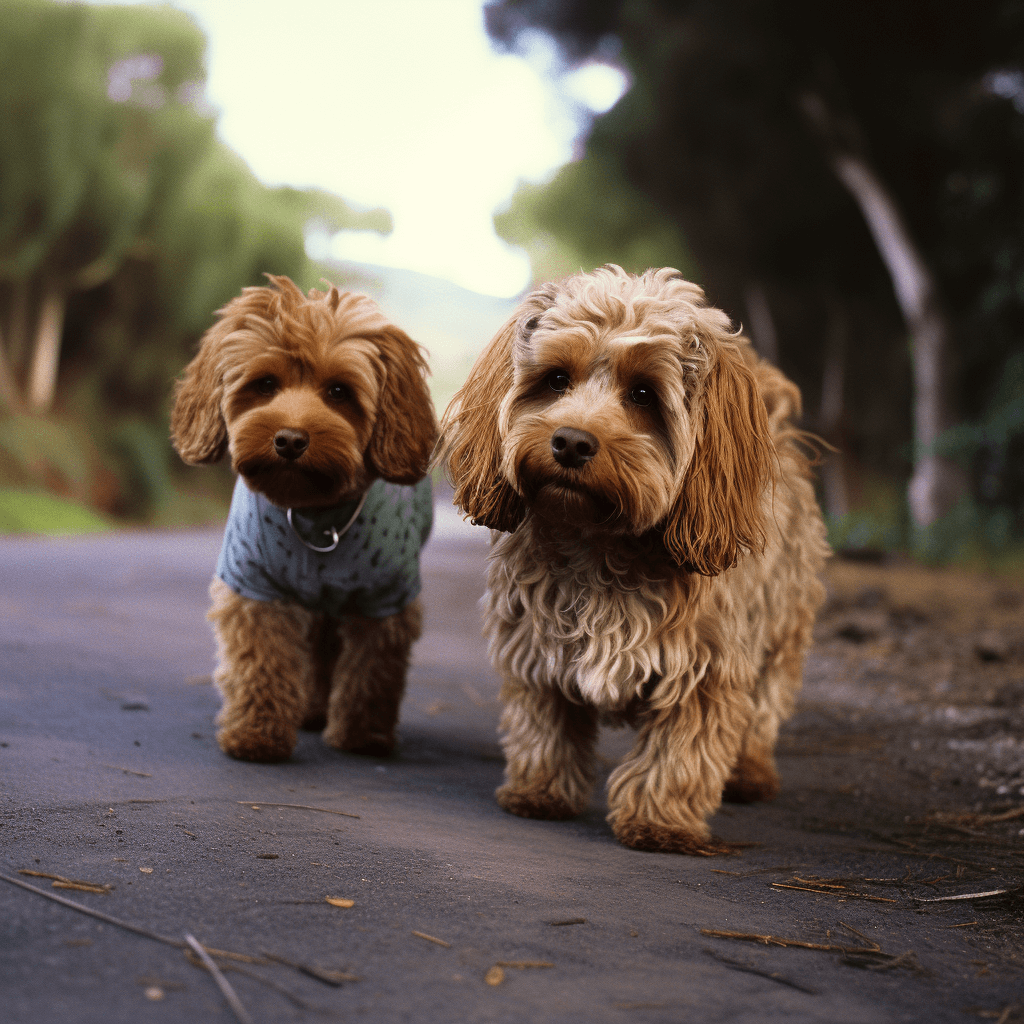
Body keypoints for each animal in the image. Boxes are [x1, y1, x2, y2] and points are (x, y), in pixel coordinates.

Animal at [173, 278, 436, 761]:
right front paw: (257, 733)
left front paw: (362, 735)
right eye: (265, 384)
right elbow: (261, 659)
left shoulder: (385, 600)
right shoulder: (254, 585)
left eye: (339, 392)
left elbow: (373, 670)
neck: (315, 517)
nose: (291, 439)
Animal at [440, 266, 831, 856]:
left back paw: (752, 774)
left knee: (764, 707)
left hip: (781, 631)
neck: (598, 544)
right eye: (556, 379)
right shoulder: (535, 644)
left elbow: (679, 754)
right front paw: (539, 790)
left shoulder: (705, 669)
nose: (571, 442)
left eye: (643, 393)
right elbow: (545, 721)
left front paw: (659, 822)